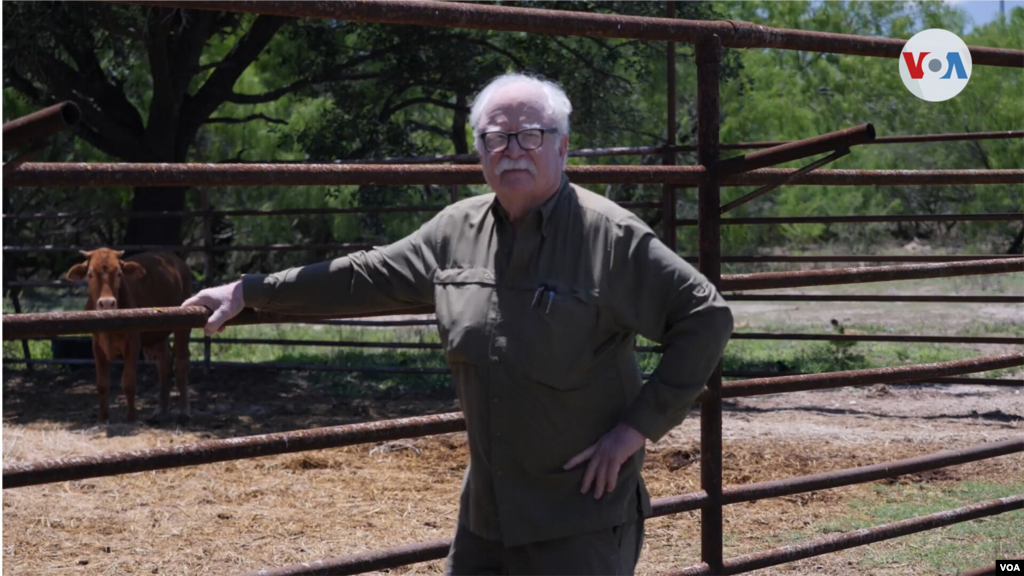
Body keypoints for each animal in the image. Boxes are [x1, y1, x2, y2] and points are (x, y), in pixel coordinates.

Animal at [64, 248, 193, 422]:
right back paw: (160, 410)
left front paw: (131, 416)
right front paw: (103, 417)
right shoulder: (97, 346)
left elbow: (128, 382)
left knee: (181, 364)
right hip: (157, 335)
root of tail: (174, 260)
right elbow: (102, 384)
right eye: (90, 274)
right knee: (164, 365)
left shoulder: (132, 343)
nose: (107, 303)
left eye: (119, 274)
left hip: (183, 327)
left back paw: (184, 411)